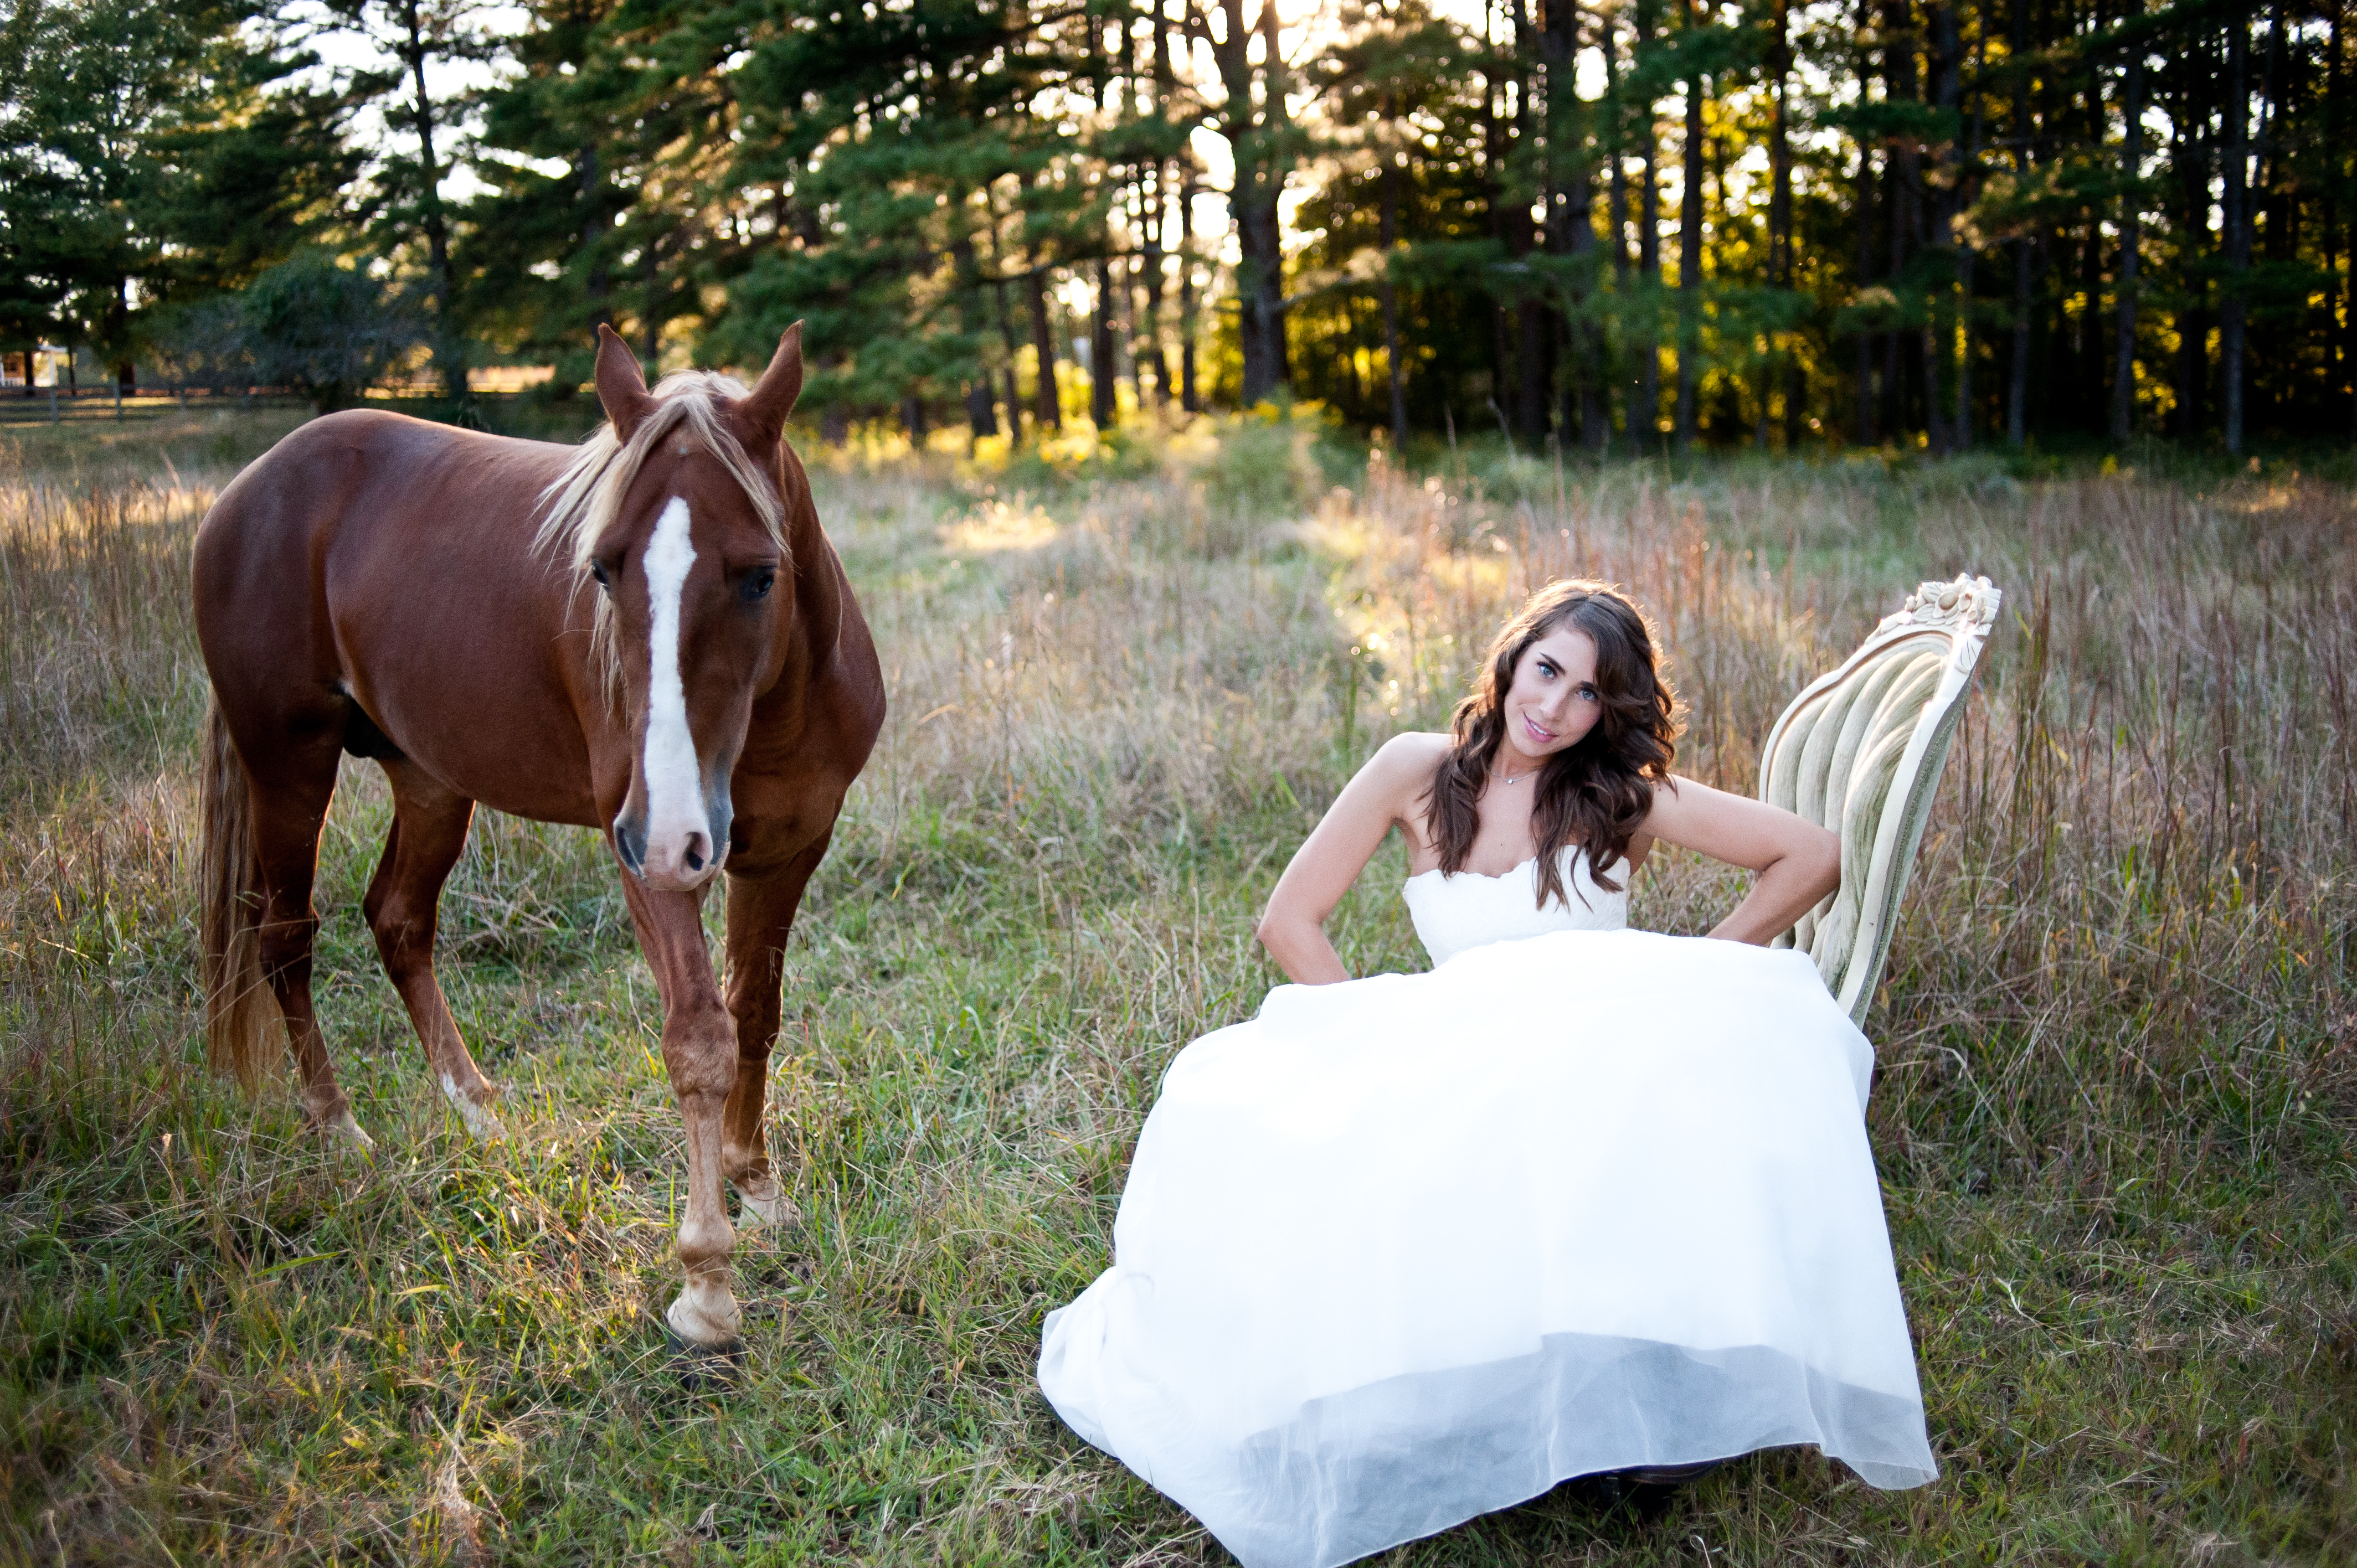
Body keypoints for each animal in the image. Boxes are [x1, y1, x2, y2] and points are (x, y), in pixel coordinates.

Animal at [191, 321, 886, 1348]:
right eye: (601, 568)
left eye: (762, 574)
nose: (671, 824)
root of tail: (249, 488)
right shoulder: (652, 862)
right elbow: (699, 1040)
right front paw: (707, 1283)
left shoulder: (792, 846)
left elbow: (755, 1014)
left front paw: (759, 1187)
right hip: (289, 763)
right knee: (286, 938)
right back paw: (338, 1127)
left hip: (430, 777)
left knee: (398, 921)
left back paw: (478, 1111)